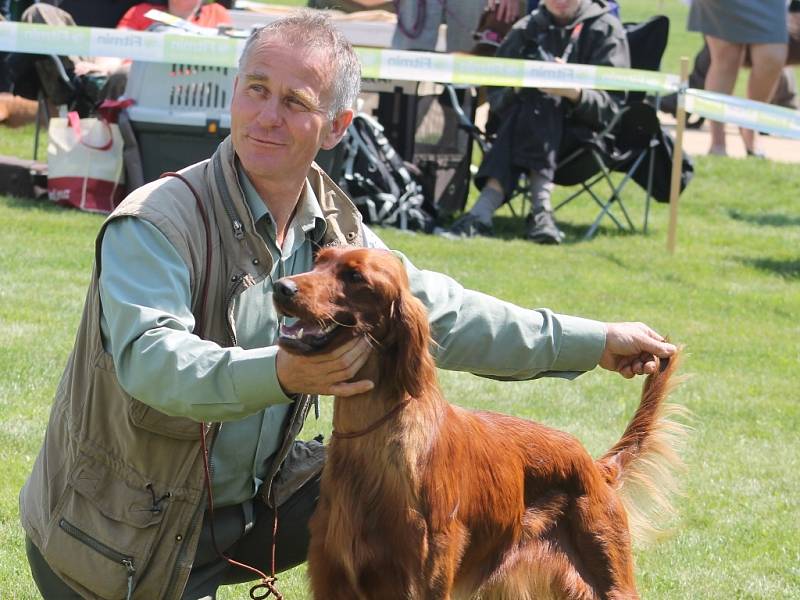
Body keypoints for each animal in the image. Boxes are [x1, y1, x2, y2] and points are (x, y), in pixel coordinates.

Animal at [272, 246, 684, 596]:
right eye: (319, 260)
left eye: (355, 276)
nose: (281, 287)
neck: (374, 440)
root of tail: (595, 467)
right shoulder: (332, 576)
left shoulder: (422, 579)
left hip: (608, 574)